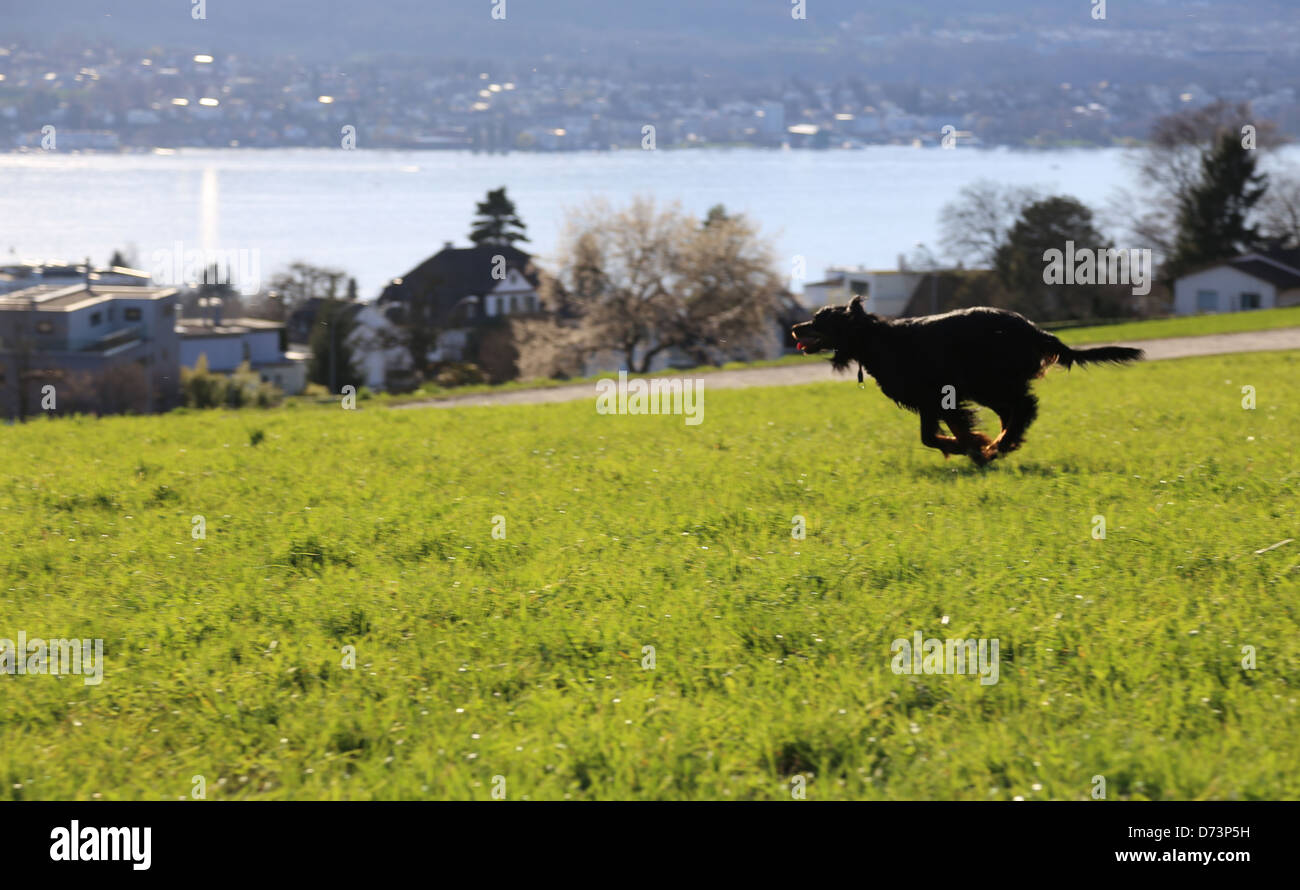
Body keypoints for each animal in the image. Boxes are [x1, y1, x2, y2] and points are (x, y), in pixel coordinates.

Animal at [785, 298, 1144, 465]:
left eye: (818, 320)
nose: (794, 328)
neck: (876, 338)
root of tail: (1034, 330)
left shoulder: (941, 396)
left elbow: (941, 434)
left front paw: (975, 447)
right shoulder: (933, 401)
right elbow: (932, 436)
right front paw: (973, 446)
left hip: (990, 380)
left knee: (1024, 407)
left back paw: (1002, 443)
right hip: (990, 385)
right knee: (1014, 411)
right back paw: (1004, 442)